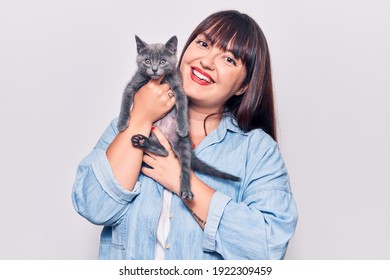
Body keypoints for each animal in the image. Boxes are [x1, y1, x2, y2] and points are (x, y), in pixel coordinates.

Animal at [116, 36, 238, 200]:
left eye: (162, 61)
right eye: (147, 61)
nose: (154, 69)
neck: (159, 80)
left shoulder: (179, 89)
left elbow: (182, 108)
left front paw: (183, 126)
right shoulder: (133, 84)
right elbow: (126, 100)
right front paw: (122, 123)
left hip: (183, 143)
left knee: (183, 165)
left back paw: (186, 190)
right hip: (152, 131)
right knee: (165, 151)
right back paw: (143, 142)